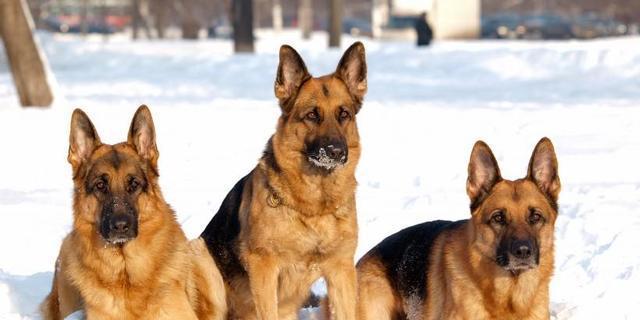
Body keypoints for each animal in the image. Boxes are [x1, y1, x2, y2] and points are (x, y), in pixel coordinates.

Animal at [200, 41, 368, 318]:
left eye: (344, 114)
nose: (336, 152)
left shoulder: (341, 271)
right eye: (312, 115)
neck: (314, 207)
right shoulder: (264, 268)